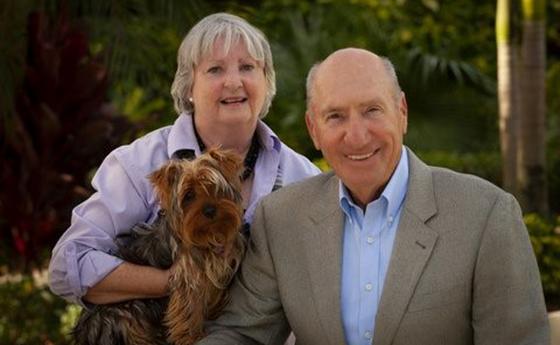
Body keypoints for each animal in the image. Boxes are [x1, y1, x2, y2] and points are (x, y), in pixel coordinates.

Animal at [71, 149, 245, 344]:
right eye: (189, 196)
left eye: (215, 187)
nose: (209, 210)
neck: (210, 234)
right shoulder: (188, 276)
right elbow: (190, 308)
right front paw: (192, 337)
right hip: (123, 314)